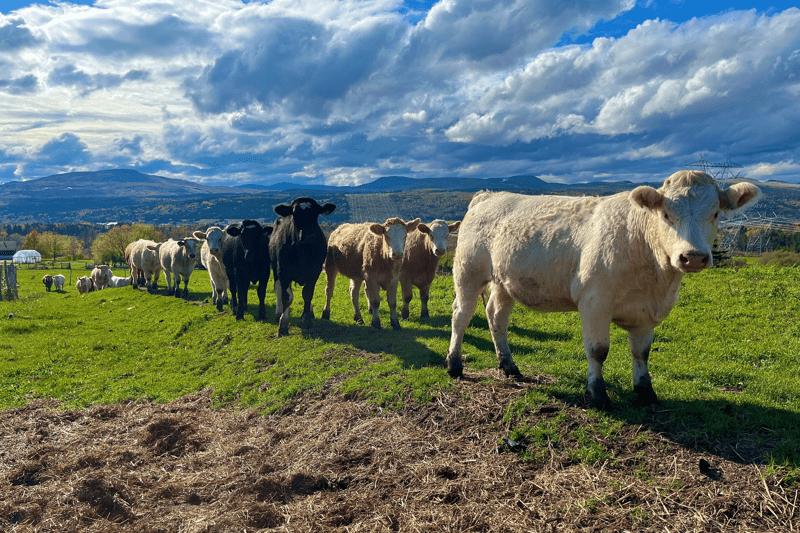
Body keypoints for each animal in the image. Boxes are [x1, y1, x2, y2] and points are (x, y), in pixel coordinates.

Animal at [270, 195, 336, 336]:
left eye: (316, 214)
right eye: (295, 214)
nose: (308, 235)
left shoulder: (315, 271)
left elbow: (307, 294)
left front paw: (306, 320)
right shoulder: (283, 271)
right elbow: (287, 297)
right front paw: (283, 324)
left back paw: (310, 312)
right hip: (274, 267)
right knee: (278, 288)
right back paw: (278, 313)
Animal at [446, 169, 760, 408]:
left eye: (716, 213)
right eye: (667, 215)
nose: (693, 257)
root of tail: (489, 195)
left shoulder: (646, 311)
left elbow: (642, 352)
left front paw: (645, 392)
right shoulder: (594, 301)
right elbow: (598, 350)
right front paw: (597, 394)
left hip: (505, 281)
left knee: (496, 316)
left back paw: (509, 366)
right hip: (468, 271)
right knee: (461, 315)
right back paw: (454, 365)